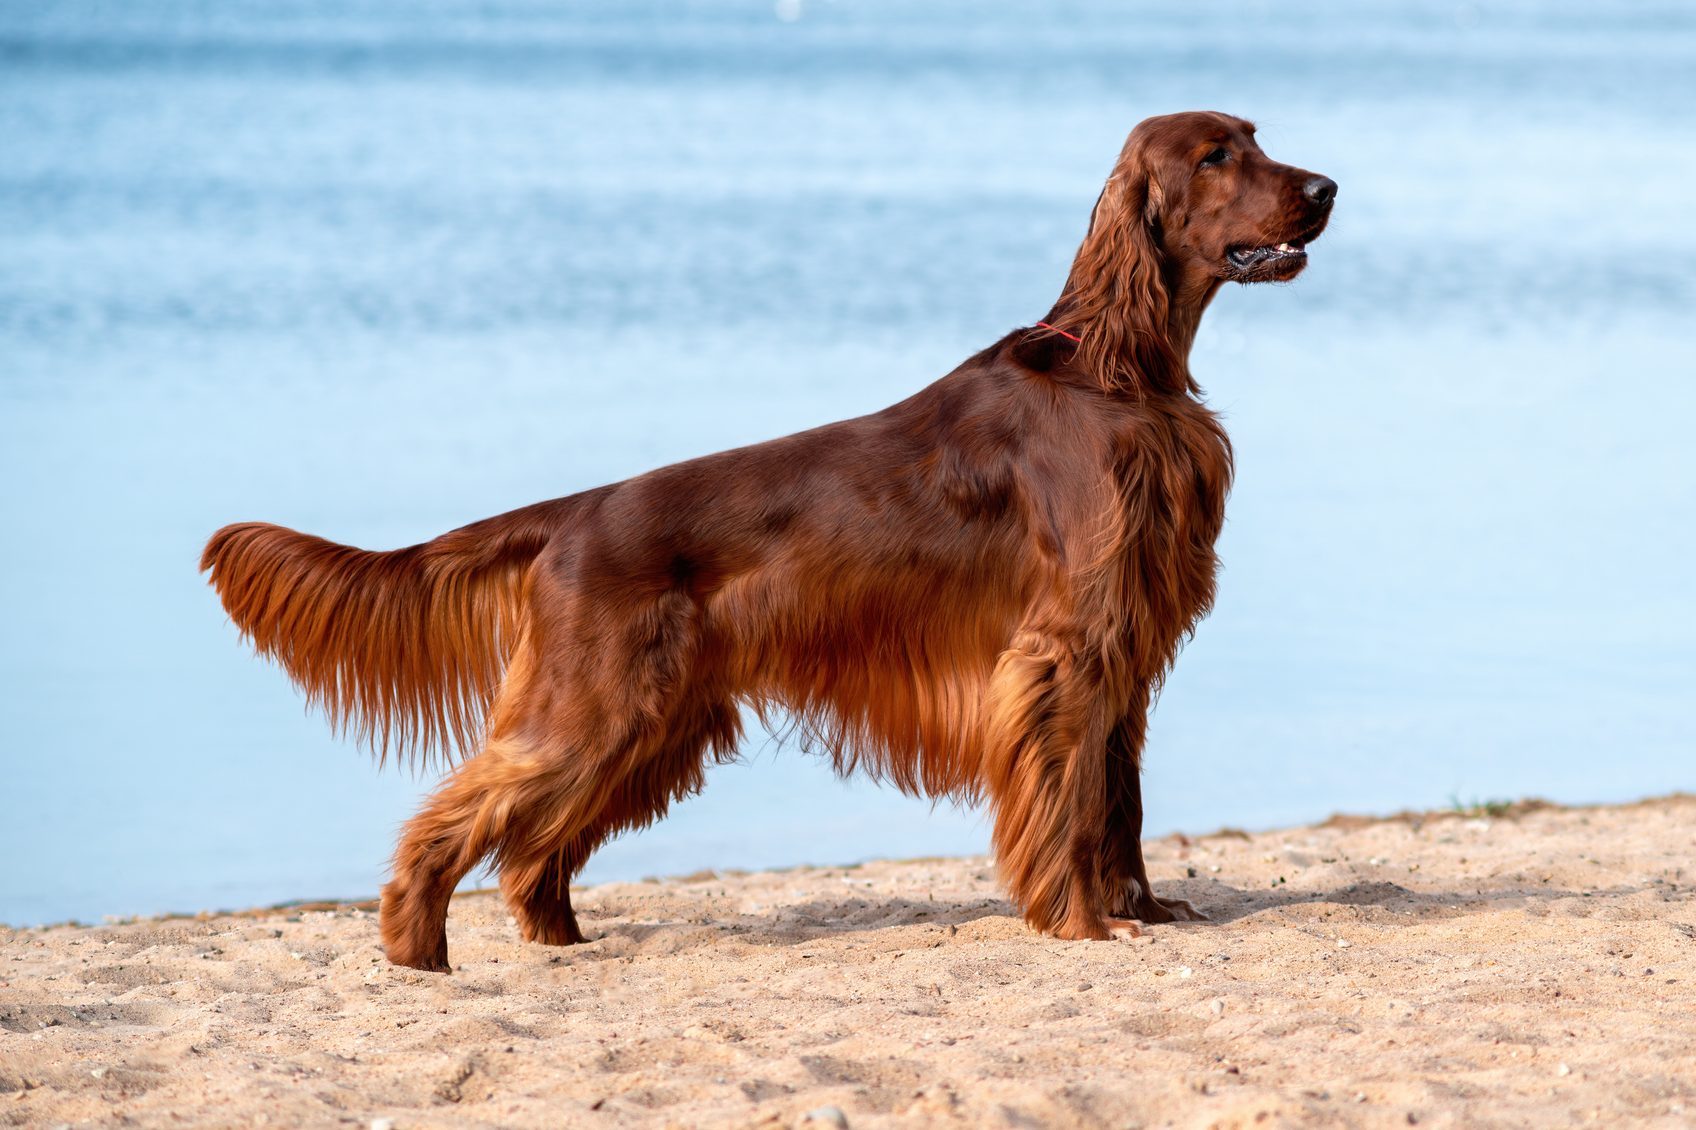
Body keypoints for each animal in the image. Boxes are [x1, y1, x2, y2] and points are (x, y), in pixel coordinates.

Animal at [201, 110, 1336, 970]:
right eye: (1215, 155)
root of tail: (573, 514)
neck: (1117, 368)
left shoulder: (1124, 647)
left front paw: (1138, 908)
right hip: (594, 705)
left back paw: (558, 939)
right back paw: (417, 950)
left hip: (653, 721)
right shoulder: (1066, 648)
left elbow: (1119, 798)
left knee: (533, 849)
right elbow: (1071, 795)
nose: (1326, 187)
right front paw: (1081, 922)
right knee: (460, 818)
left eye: (1255, 137)